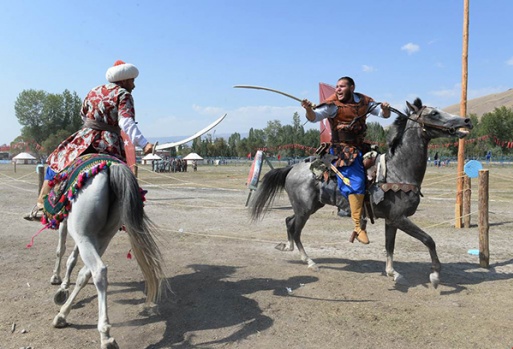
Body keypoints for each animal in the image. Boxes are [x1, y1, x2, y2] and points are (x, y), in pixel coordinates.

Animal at [43, 155, 166, 348]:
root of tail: (111, 168)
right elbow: (72, 258)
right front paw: (63, 287)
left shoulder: (64, 223)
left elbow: (60, 249)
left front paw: (58, 281)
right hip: (102, 236)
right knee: (86, 273)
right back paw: (62, 315)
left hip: (84, 236)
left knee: (98, 271)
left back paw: (105, 335)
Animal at [250, 98, 470, 288]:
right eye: (434, 113)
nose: (466, 120)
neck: (398, 170)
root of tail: (292, 168)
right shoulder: (400, 218)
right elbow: (428, 240)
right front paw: (435, 275)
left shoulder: (392, 220)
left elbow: (390, 246)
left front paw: (393, 273)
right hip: (304, 209)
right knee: (296, 230)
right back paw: (310, 261)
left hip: (309, 206)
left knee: (289, 221)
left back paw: (289, 247)